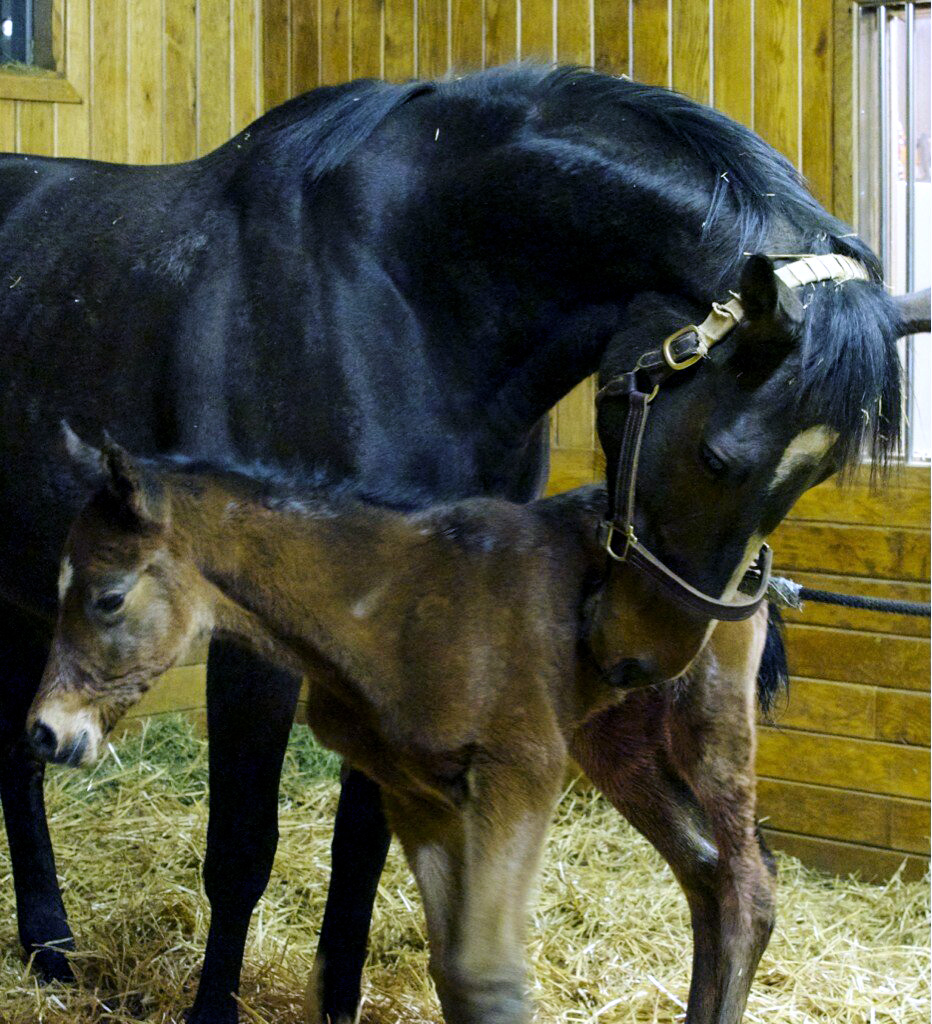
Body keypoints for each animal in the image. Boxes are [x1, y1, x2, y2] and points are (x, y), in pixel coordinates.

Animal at [1, 64, 927, 1024]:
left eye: (817, 478)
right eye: (719, 457)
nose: (643, 662)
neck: (402, 297)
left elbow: (363, 847)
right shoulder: (250, 636)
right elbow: (242, 848)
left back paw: (51, 945)